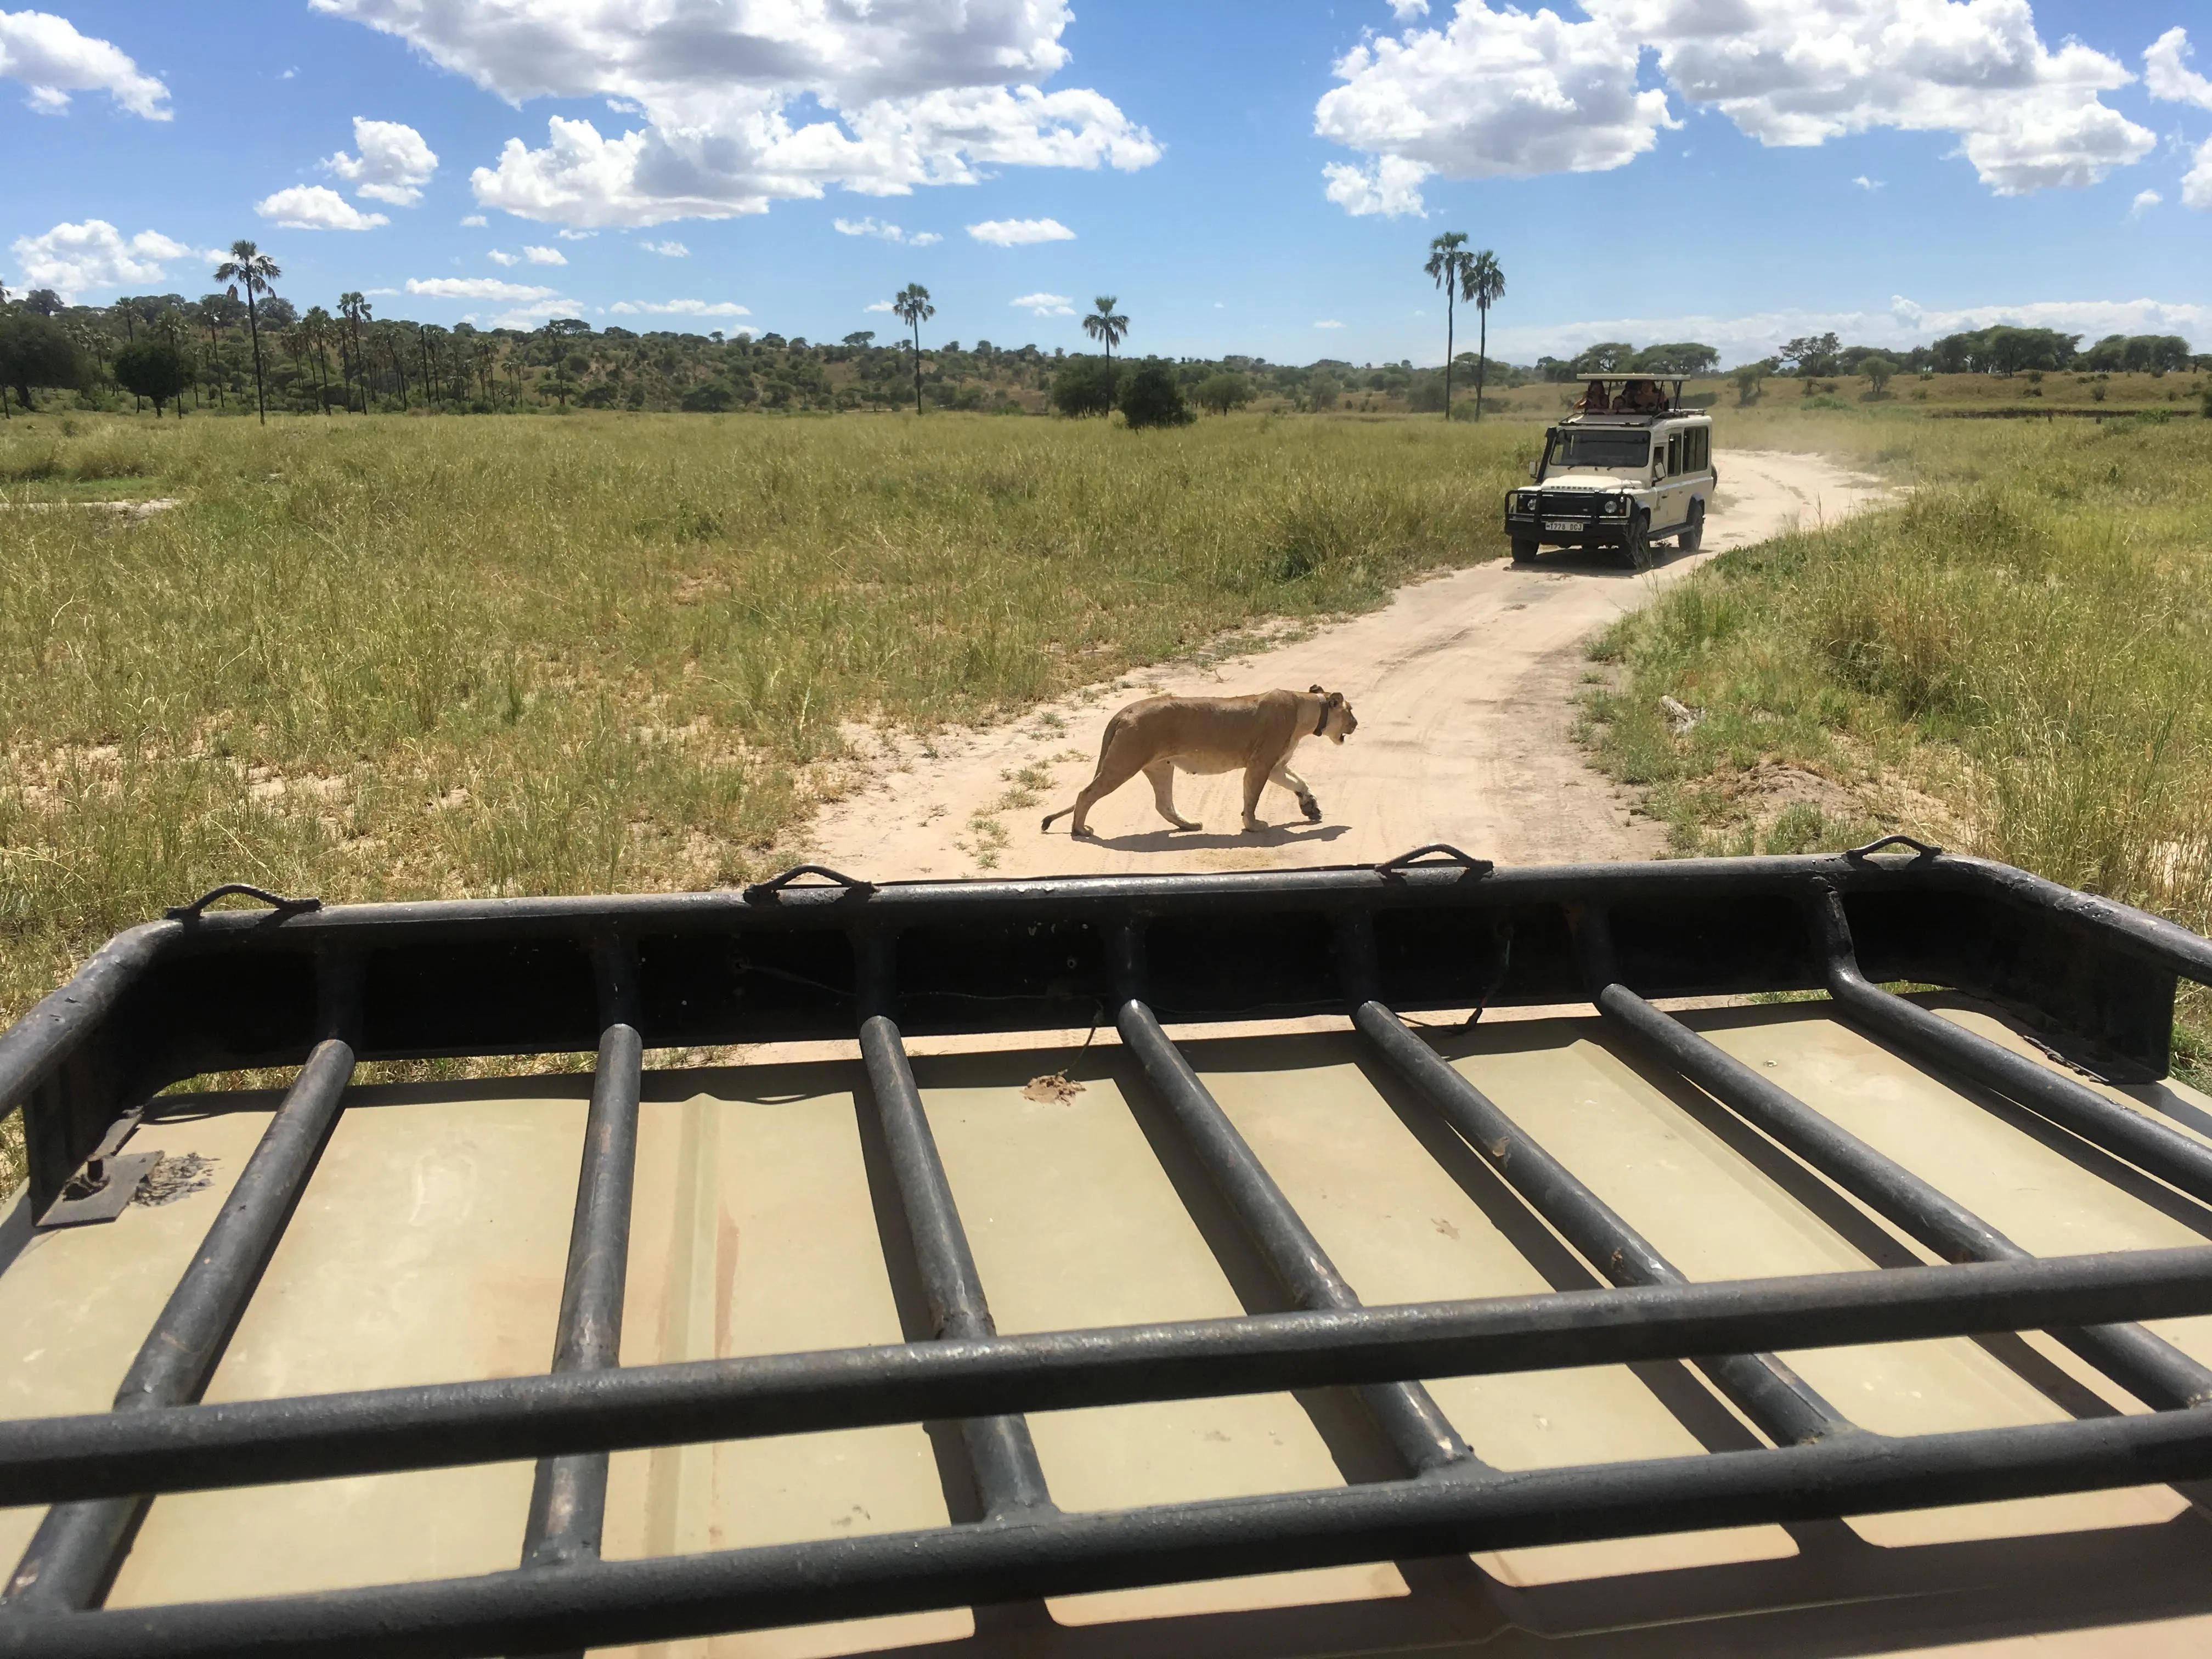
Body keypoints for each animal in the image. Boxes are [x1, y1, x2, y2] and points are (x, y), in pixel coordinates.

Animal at [1040, 686, 1357, 838]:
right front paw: (1253, 826)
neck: (1306, 709)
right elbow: (1252, 798)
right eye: (1351, 709)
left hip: (1160, 766)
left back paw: (1188, 825)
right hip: (1124, 762)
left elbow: (1299, 781)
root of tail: (1124, 711)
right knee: (1086, 794)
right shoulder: (1261, 764)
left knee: (1163, 804)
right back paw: (1080, 831)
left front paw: (1310, 806)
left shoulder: (1276, 766)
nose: (1356, 724)